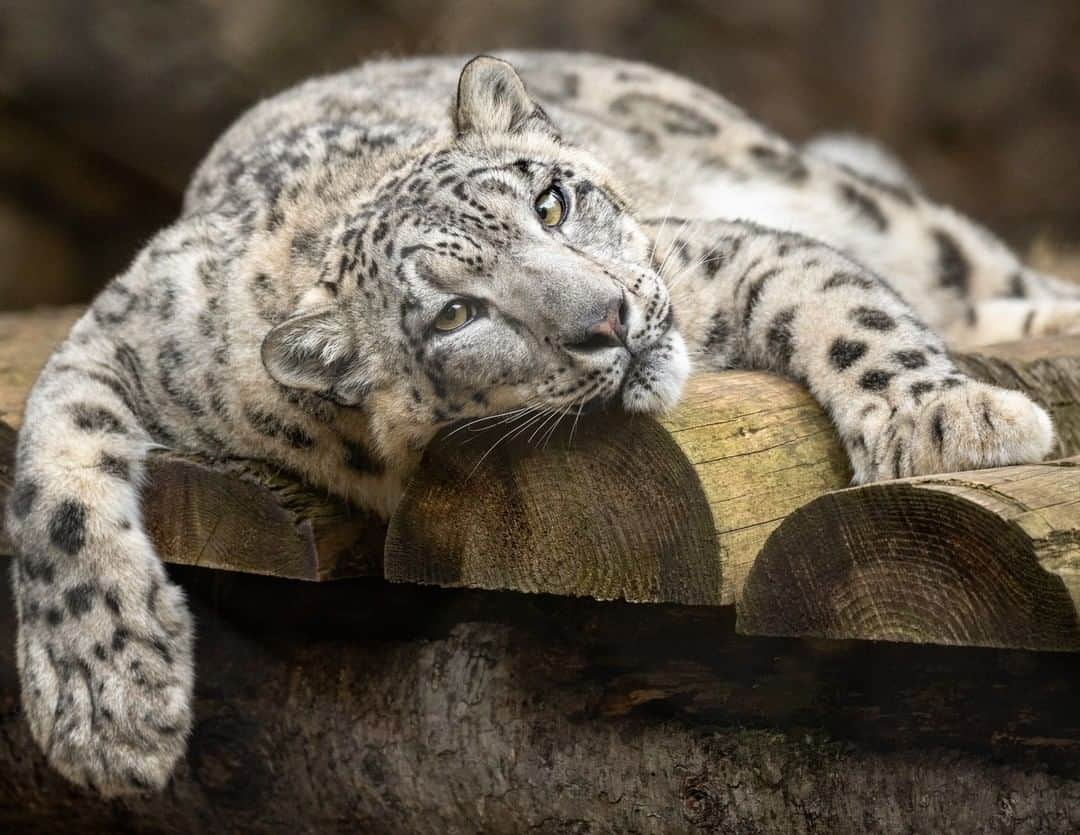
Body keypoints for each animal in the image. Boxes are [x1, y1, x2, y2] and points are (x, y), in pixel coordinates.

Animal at [4, 52, 1075, 795]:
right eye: (454, 314)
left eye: (551, 202)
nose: (610, 319)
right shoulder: (126, 332)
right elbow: (49, 478)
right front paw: (109, 704)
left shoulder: (707, 254)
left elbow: (837, 300)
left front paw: (947, 418)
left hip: (859, 205)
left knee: (973, 267)